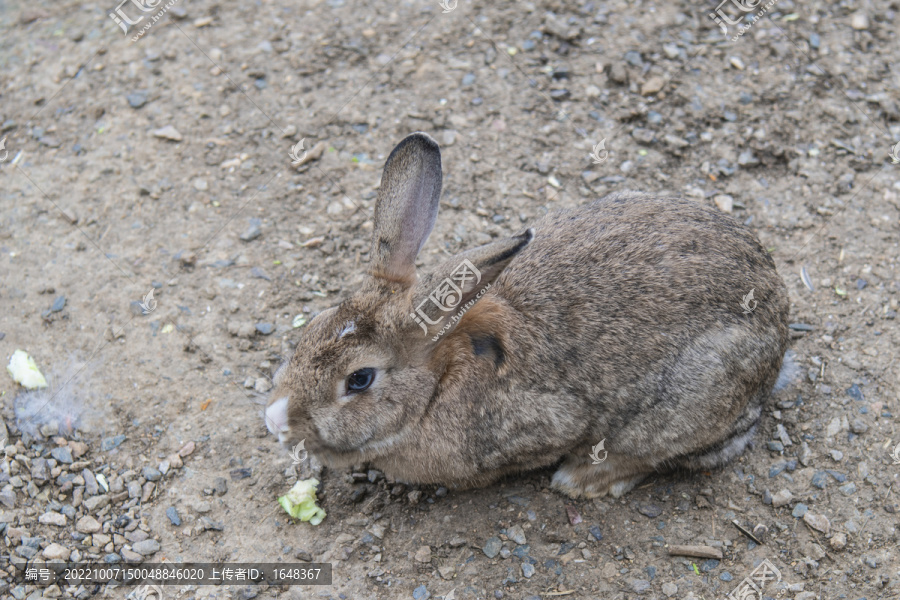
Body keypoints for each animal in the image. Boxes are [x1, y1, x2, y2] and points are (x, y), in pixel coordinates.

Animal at [264, 134, 792, 500]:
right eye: (313, 326)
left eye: (360, 380)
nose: (273, 420)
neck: (439, 380)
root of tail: (776, 305)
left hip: (695, 395)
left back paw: (582, 480)